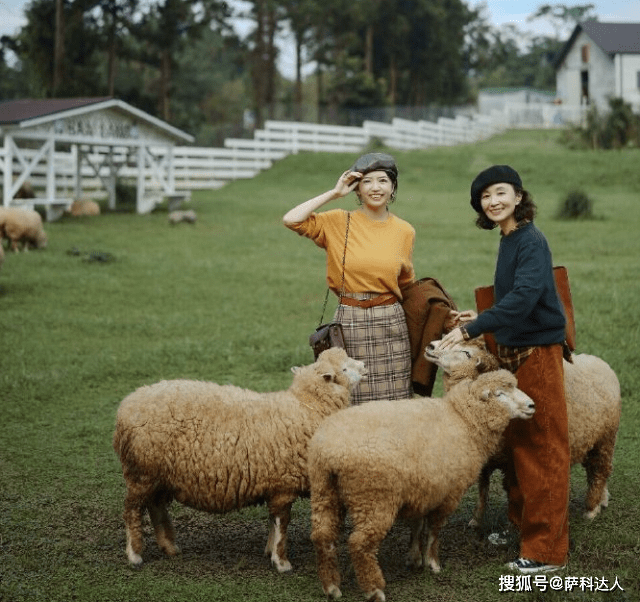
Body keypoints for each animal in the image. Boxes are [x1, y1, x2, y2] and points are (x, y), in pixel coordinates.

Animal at [112, 344, 368, 568]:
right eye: (344, 369)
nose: (364, 365)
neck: (306, 407)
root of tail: (125, 407)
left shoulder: (274, 483)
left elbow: (273, 522)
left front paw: (269, 551)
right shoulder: (283, 484)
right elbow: (282, 522)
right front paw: (281, 562)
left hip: (157, 474)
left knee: (155, 506)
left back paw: (169, 547)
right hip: (141, 471)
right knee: (132, 511)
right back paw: (135, 555)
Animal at [308, 368, 536, 596]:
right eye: (500, 394)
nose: (531, 405)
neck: (464, 420)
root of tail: (329, 450)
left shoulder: (422, 489)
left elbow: (417, 525)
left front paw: (414, 558)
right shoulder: (449, 493)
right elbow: (434, 530)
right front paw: (432, 563)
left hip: (324, 491)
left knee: (322, 537)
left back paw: (331, 586)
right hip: (373, 498)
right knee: (359, 544)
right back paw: (374, 590)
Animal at [424, 336, 620, 524]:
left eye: (466, 353)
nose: (431, 346)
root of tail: (602, 363)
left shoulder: (511, 461)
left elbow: (510, 489)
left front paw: (514, 520)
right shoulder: (486, 455)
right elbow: (482, 488)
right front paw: (476, 519)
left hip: (606, 438)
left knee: (600, 470)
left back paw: (591, 509)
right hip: (591, 440)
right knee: (594, 471)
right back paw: (602, 499)